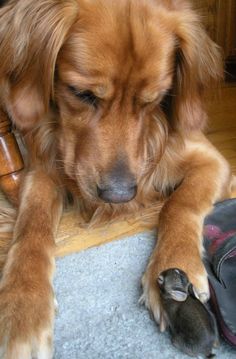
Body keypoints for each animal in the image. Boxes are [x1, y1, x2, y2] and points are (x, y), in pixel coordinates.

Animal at [0, 0, 233, 358]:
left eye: (154, 99)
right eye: (81, 93)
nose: (119, 195)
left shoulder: (213, 160)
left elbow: (180, 203)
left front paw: (177, 259)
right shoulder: (40, 170)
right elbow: (30, 227)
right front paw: (22, 306)